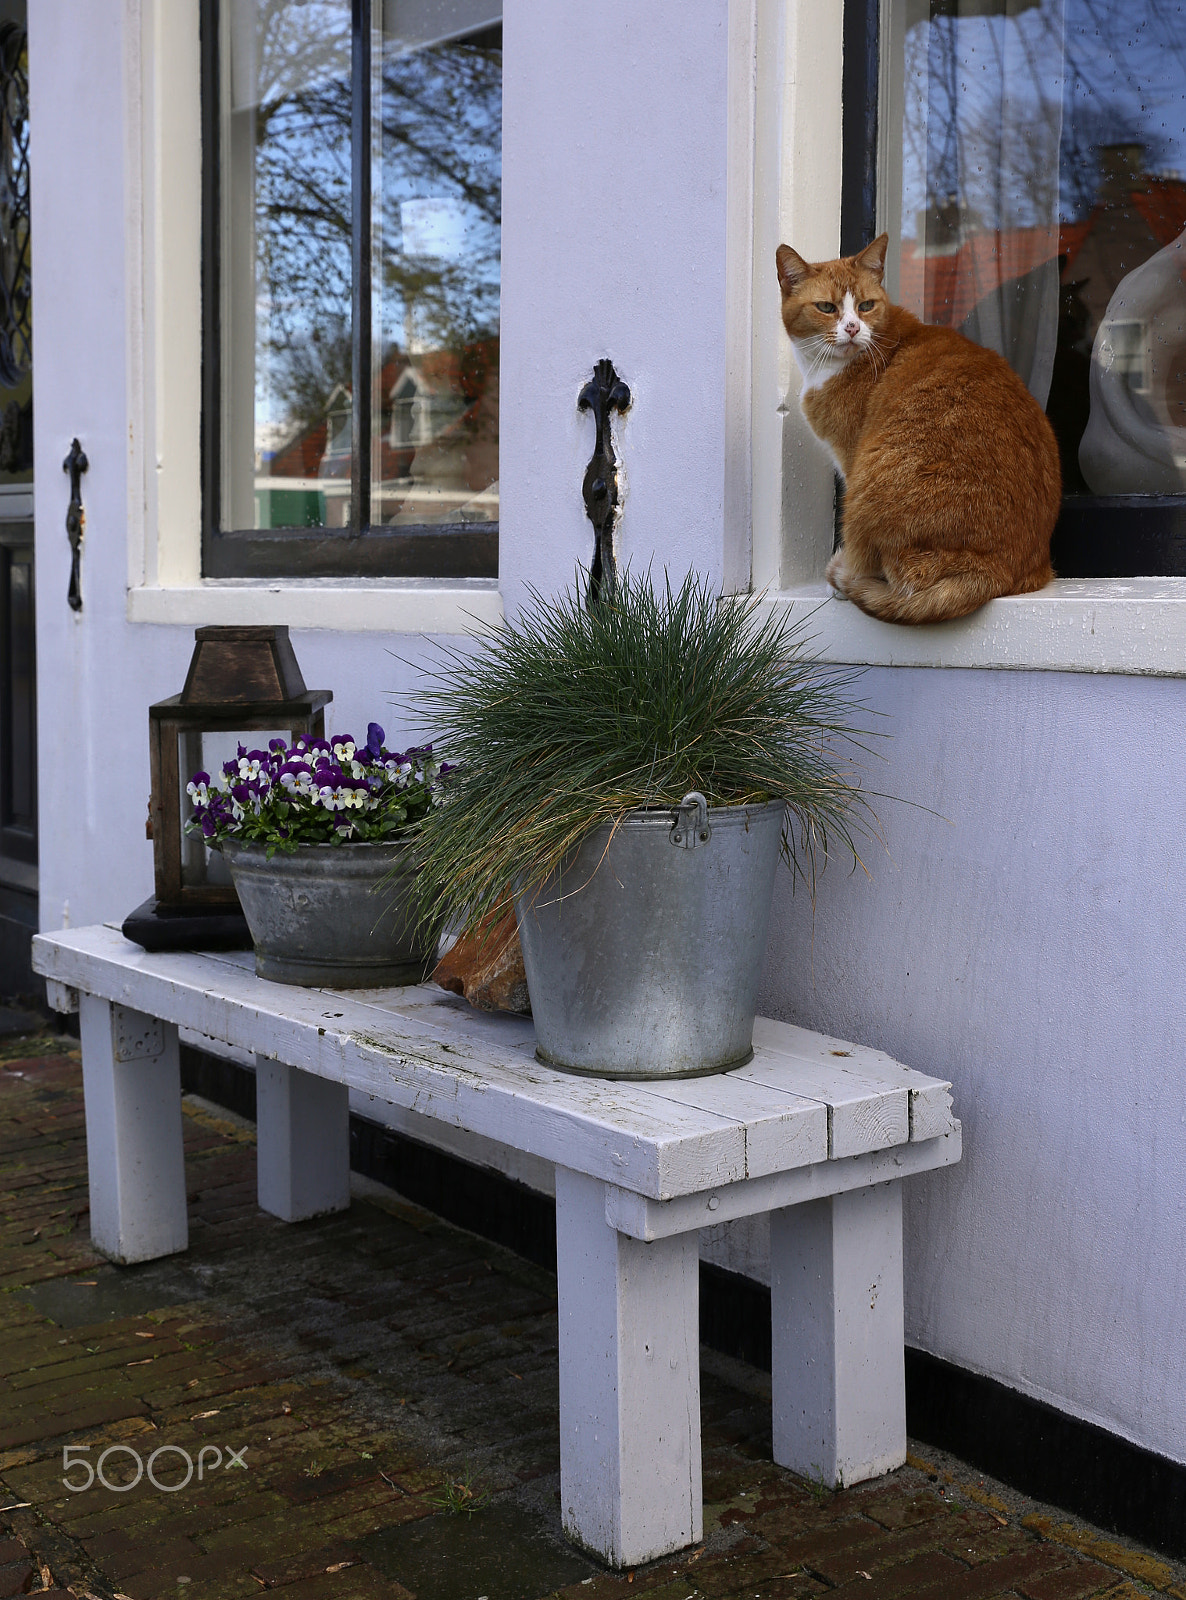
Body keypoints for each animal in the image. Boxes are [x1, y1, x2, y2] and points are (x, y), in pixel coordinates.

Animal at [771, 233, 1056, 620]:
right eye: (827, 308)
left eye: (866, 305)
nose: (852, 328)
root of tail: (996, 569)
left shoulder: (849, 455)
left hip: (864, 492)